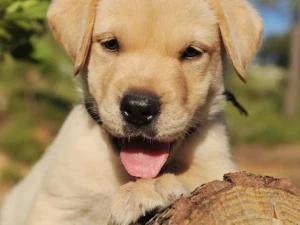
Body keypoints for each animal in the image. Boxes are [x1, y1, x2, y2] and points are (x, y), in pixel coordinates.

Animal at [0, 0, 262, 224]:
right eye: (111, 44)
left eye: (191, 52)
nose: (139, 108)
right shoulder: (58, 205)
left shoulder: (220, 162)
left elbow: (199, 175)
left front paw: (145, 190)